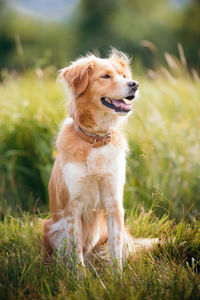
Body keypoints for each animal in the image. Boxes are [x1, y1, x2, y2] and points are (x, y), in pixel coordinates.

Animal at [42, 48, 158, 270]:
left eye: (124, 76)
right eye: (105, 76)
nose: (134, 84)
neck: (96, 139)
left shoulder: (114, 204)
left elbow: (115, 251)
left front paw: (117, 277)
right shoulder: (72, 209)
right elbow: (76, 254)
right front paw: (79, 278)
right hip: (51, 228)